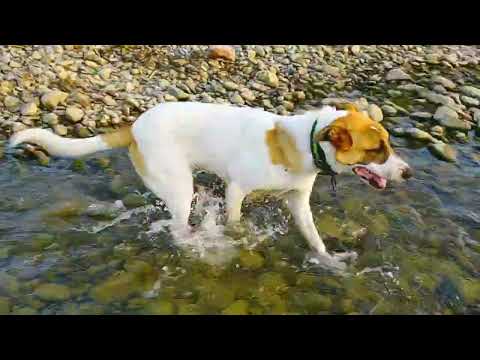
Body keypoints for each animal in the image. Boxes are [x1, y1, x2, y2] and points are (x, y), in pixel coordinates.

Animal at [9, 101, 410, 262]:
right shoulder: (236, 191)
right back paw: (195, 245)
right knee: (178, 228)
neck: (308, 141)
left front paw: (328, 261)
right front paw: (234, 241)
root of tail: (134, 126)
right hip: (179, 186)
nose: (408, 172)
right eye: (377, 149)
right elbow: (235, 223)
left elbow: (314, 238)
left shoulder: (298, 201)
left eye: (388, 143)